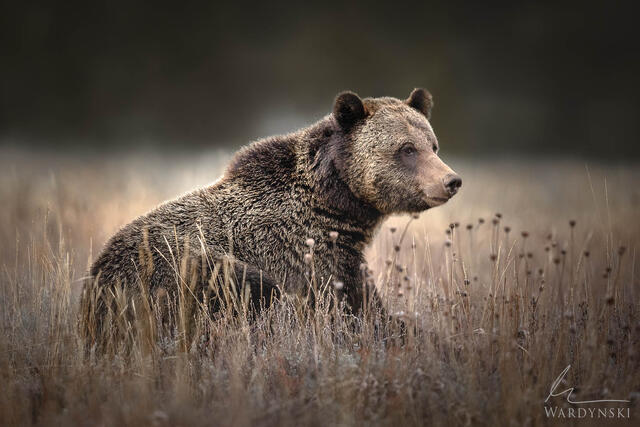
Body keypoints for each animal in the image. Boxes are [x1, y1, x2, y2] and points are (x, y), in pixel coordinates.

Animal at [81, 88, 461, 345]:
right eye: (406, 149)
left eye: (433, 145)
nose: (451, 180)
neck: (338, 206)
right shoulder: (312, 257)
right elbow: (357, 312)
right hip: (169, 270)